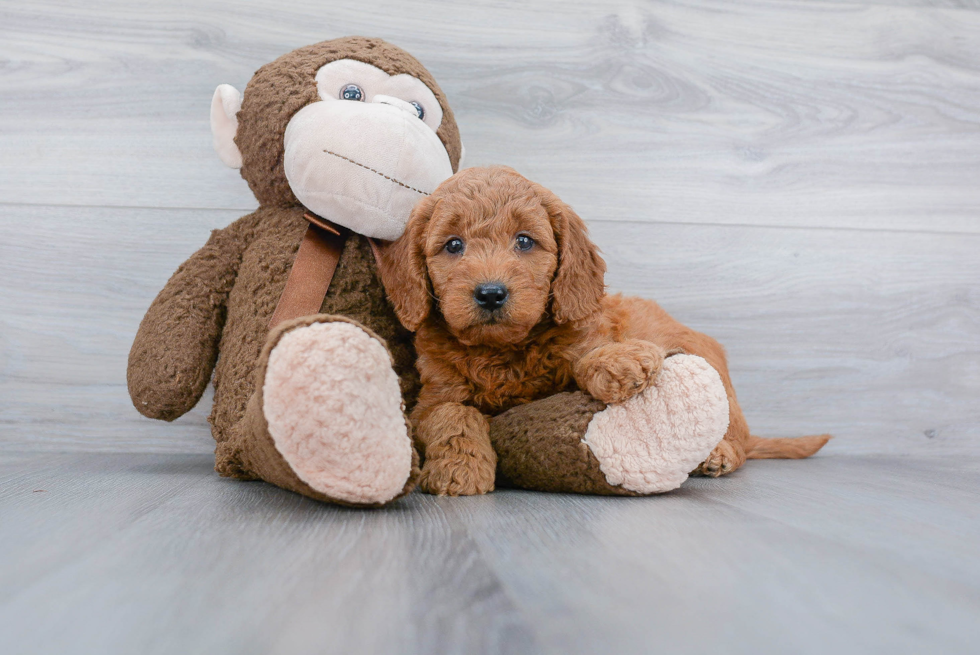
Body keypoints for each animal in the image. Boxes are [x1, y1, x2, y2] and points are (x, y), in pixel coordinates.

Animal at [378, 167, 832, 494]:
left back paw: (717, 454)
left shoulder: (584, 333)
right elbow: (453, 415)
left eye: (524, 241)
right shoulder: (431, 399)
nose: (490, 294)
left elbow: (585, 355)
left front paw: (621, 360)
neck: (504, 352)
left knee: (737, 437)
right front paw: (462, 469)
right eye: (453, 245)